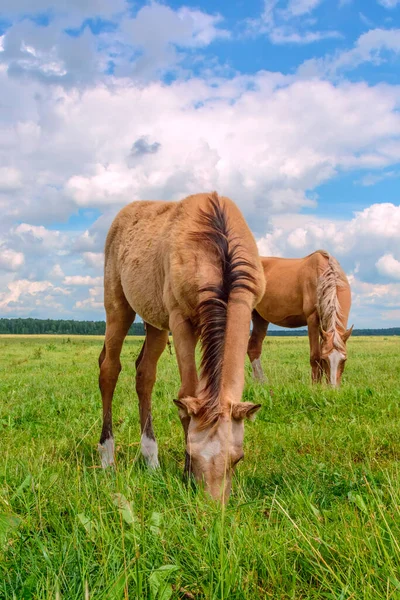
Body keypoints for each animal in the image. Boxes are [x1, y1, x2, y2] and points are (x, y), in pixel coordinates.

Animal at [98, 192, 264, 502]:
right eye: (191, 452)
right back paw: (107, 456)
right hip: (118, 307)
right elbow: (187, 393)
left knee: (144, 374)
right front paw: (186, 476)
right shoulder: (180, 320)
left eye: (238, 458)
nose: (213, 505)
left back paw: (151, 459)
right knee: (109, 369)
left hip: (156, 322)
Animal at [247, 250, 354, 386]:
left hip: (260, 318)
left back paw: (261, 382)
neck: (322, 276)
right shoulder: (313, 319)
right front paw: (315, 386)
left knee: (254, 348)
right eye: (325, 360)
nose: (333, 388)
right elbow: (315, 356)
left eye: (344, 360)